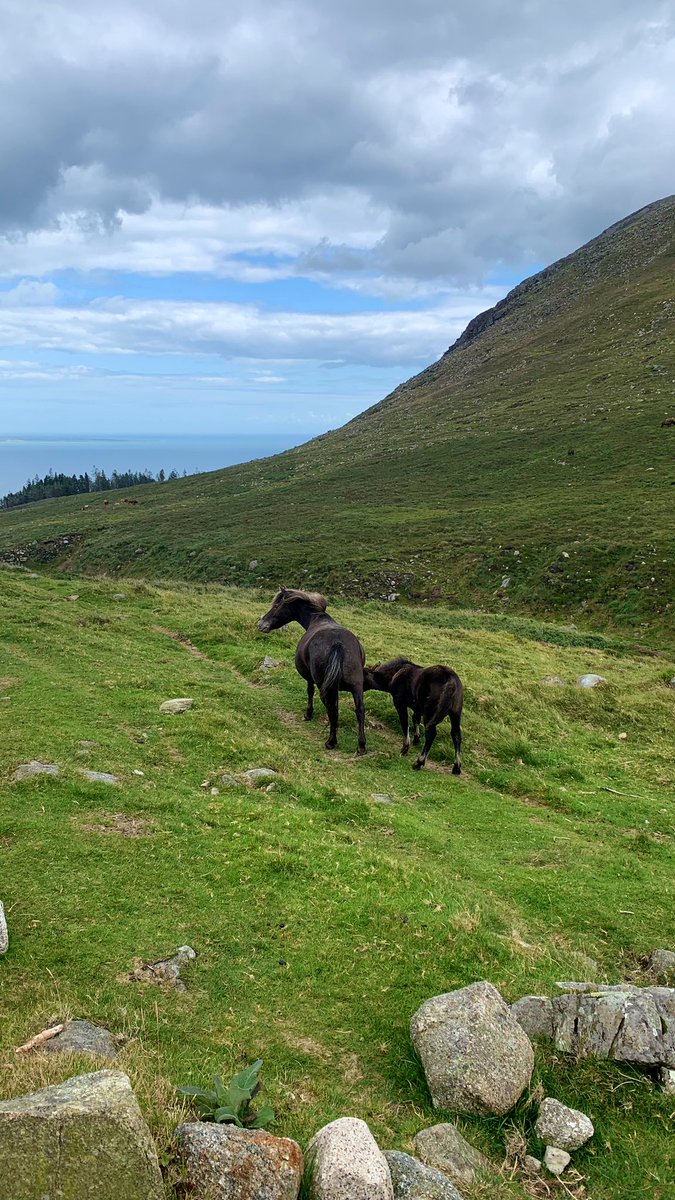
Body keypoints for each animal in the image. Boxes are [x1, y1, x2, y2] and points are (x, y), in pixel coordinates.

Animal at [258, 588, 367, 755]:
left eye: (276, 605)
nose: (262, 624)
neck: (316, 619)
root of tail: (338, 642)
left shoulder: (309, 678)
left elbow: (309, 692)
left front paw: (308, 714)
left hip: (325, 686)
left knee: (332, 709)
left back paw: (331, 741)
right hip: (356, 686)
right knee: (359, 710)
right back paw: (361, 745)